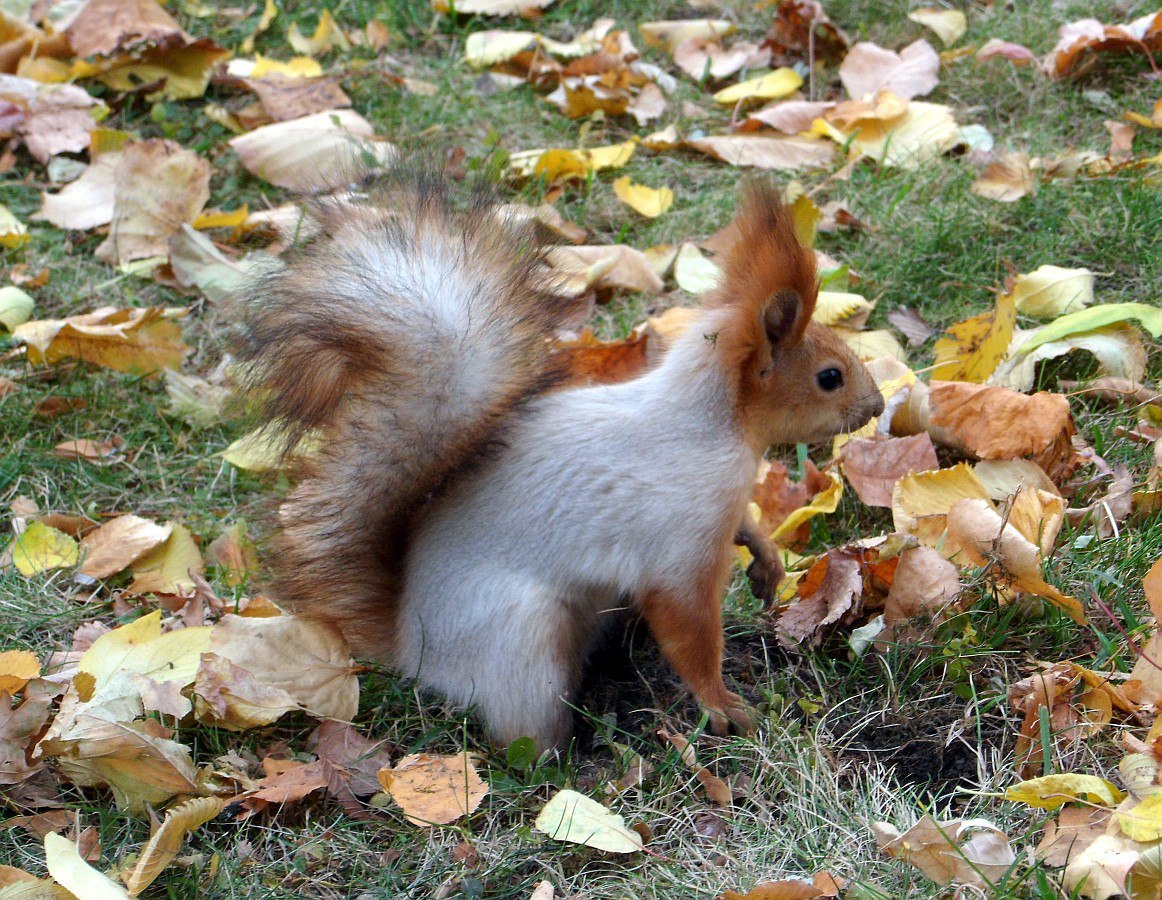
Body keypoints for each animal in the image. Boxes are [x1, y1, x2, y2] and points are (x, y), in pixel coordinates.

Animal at [240, 173, 883, 747]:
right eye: (830, 377)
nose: (877, 406)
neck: (709, 424)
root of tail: (413, 647)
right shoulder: (679, 541)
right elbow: (689, 631)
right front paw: (722, 705)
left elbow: (747, 527)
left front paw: (767, 560)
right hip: (524, 641)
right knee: (521, 733)